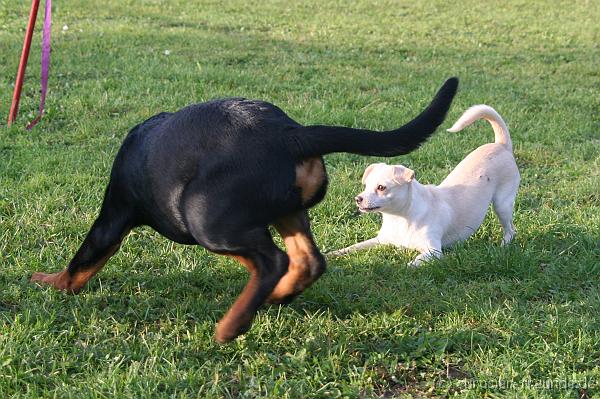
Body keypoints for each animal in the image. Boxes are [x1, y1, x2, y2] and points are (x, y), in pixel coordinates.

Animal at [30, 78, 458, 344]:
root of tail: (290, 134)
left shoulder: (112, 217)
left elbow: (80, 264)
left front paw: (48, 281)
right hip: (288, 213)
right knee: (308, 261)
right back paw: (276, 298)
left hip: (205, 219)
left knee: (271, 261)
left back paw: (232, 325)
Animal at [330, 104, 516, 268]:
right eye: (366, 186)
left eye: (381, 188)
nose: (358, 199)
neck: (400, 218)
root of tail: (501, 145)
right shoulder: (380, 240)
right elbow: (352, 247)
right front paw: (332, 254)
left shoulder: (433, 252)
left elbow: (412, 264)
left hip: (503, 205)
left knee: (510, 230)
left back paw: (504, 246)